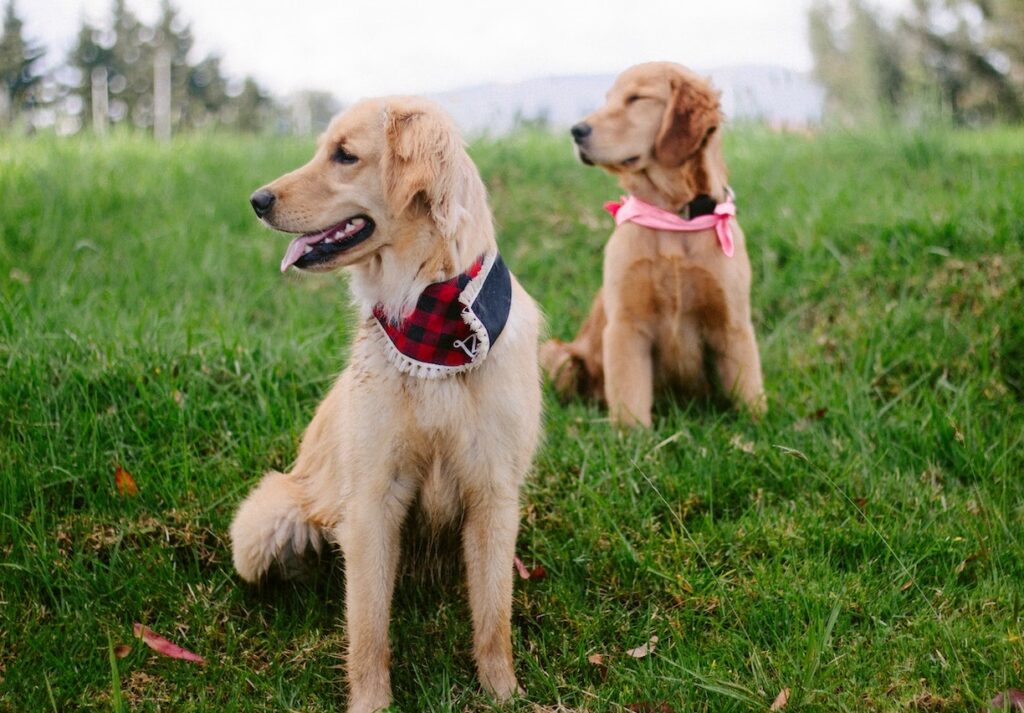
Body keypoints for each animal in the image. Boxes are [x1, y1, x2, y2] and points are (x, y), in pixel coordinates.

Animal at [227, 96, 540, 713]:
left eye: (345, 155)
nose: (256, 201)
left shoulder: (493, 493)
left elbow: (494, 615)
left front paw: (503, 693)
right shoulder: (375, 497)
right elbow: (367, 624)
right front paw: (371, 702)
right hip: (262, 526)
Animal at [540, 62, 765, 424]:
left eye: (637, 98)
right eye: (609, 99)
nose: (576, 131)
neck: (671, 215)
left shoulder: (733, 325)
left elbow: (749, 390)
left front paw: (758, 426)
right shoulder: (625, 326)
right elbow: (630, 398)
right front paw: (632, 436)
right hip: (558, 353)